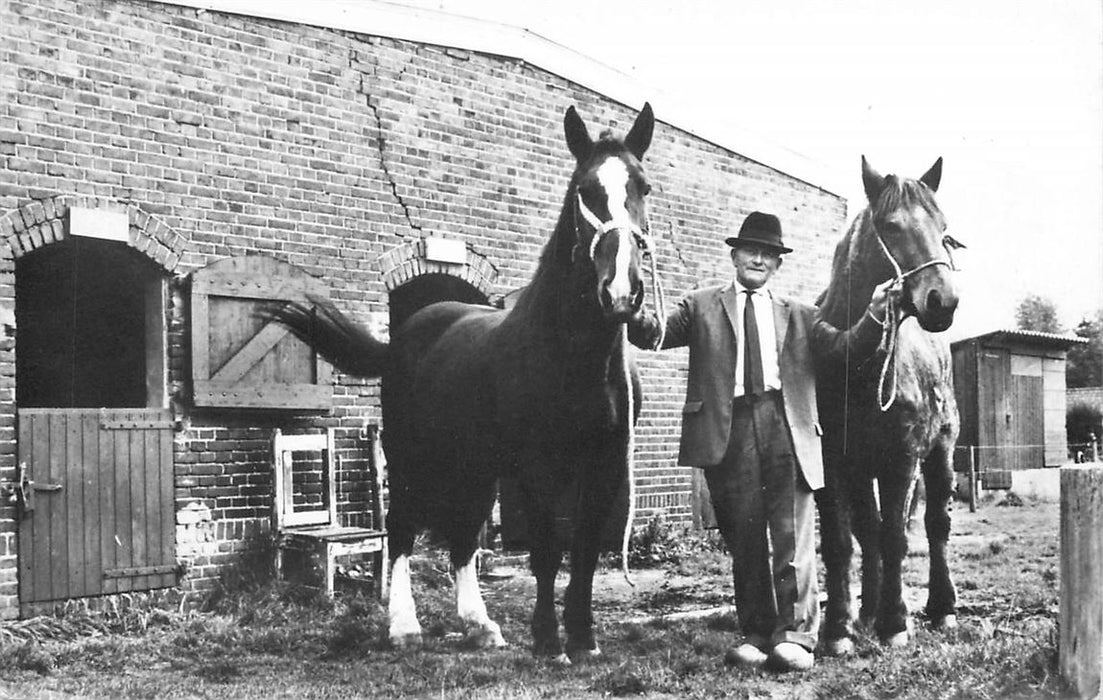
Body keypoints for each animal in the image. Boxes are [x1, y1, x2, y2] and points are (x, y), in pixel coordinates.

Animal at [269, 104, 652, 661]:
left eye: (643, 186)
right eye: (585, 189)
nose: (621, 291)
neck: (574, 356)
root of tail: (405, 335)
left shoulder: (603, 464)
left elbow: (582, 549)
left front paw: (583, 639)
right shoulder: (537, 467)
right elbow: (546, 549)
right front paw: (547, 640)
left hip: (474, 465)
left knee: (464, 534)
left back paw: (479, 624)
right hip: (412, 457)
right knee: (403, 528)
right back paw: (404, 627)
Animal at [811, 156, 966, 652]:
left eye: (944, 229)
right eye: (892, 225)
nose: (944, 300)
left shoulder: (903, 459)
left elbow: (898, 537)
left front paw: (896, 623)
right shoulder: (832, 463)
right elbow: (843, 542)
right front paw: (839, 629)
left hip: (940, 455)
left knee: (935, 525)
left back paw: (941, 608)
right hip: (865, 471)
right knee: (869, 530)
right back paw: (867, 611)